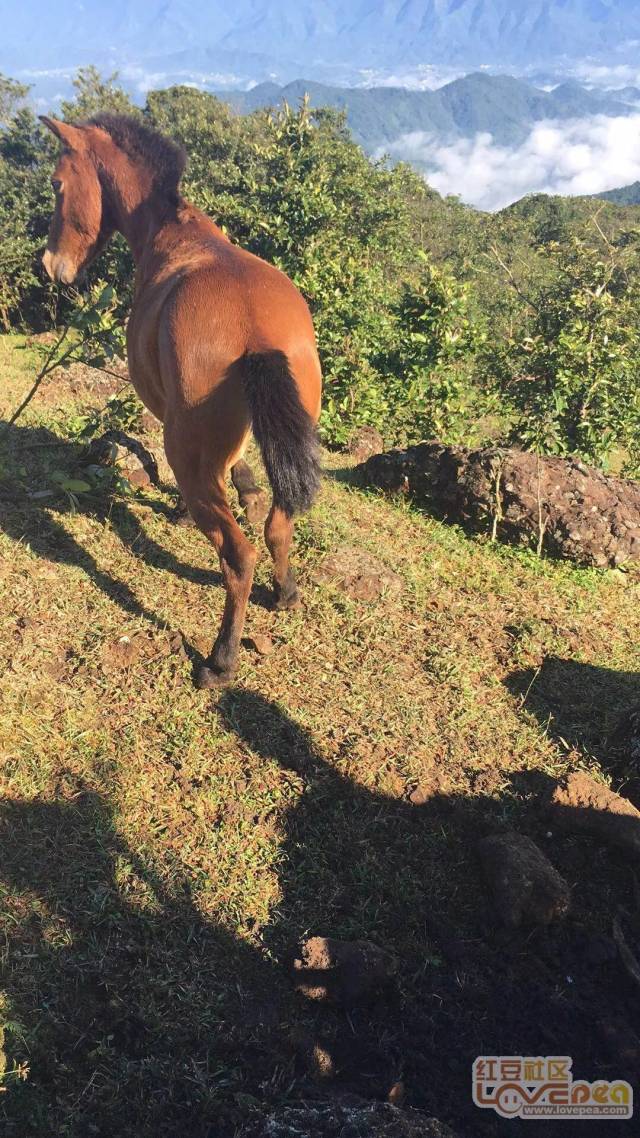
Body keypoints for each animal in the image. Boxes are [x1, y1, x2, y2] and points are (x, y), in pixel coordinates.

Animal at [38, 113, 318, 682]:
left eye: (57, 184)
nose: (50, 266)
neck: (173, 232)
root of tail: (257, 331)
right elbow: (241, 470)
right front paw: (247, 491)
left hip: (186, 454)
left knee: (238, 556)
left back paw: (220, 660)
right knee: (278, 528)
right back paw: (285, 593)